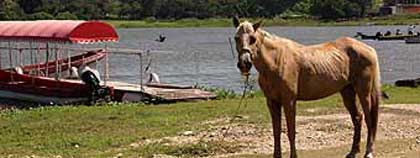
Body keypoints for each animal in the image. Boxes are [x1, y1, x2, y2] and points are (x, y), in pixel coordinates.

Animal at [233, 16, 380, 158]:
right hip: (347, 92)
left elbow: (291, 131)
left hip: (364, 92)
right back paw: (353, 152)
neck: (276, 61)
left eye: (253, 39)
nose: (244, 63)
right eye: (236, 38)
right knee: (357, 118)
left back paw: (368, 152)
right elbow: (276, 132)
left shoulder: (289, 101)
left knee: (369, 120)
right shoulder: (272, 102)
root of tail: (369, 49)